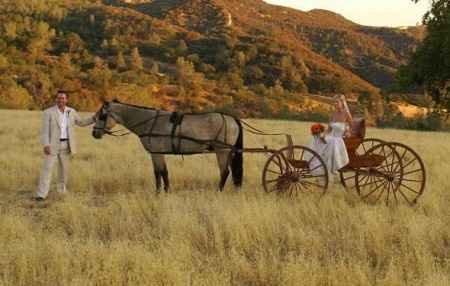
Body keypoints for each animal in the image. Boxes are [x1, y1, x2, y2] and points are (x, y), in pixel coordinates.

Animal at [92, 100, 244, 192]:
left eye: (102, 116)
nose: (94, 133)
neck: (149, 122)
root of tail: (232, 118)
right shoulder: (157, 153)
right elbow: (160, 172)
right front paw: (162, 191)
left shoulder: (157, 153)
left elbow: (161, 172)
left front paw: (162, 192)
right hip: (229, 152)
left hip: (222, 151)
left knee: (224, 172)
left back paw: (218, 190)